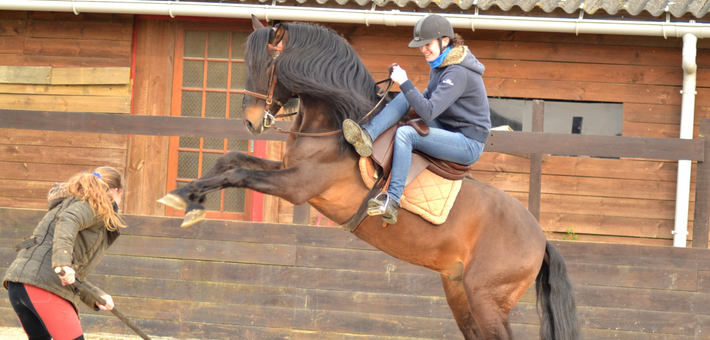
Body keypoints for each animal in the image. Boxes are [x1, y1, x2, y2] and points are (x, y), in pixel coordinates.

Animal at [161, 17, 584, 340]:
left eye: (265, 68)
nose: (250, 122)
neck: (337, 126)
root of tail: (541, 238)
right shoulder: (286, 171)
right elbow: (230, 161)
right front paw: (185, 197)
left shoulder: (296, 187)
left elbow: (239, 172)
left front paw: (190, 197)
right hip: (460, 294)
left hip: (486, 300)